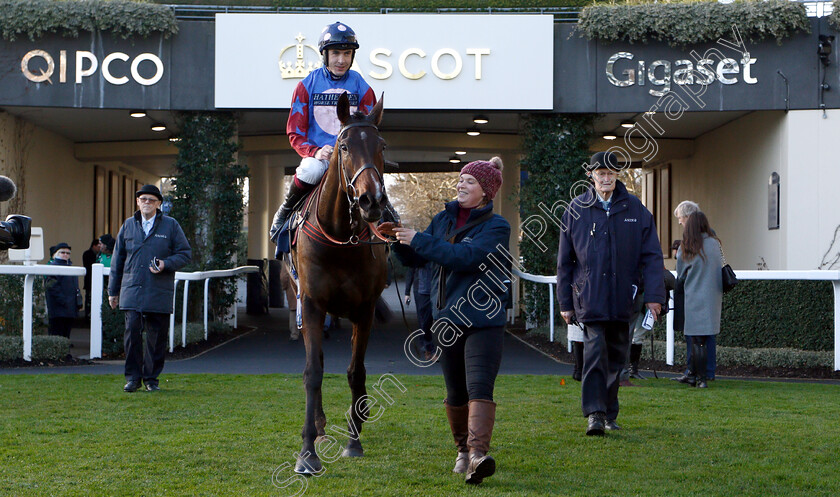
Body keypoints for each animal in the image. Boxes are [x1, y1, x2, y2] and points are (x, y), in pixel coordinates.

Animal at [288, 91, 390, 474]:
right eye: (343, 146)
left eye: (381, 145)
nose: (371, 200)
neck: (340, 238)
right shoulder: (312, 305)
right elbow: (313, 372)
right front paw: (307, 452)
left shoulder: (365, 309)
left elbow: (355, 372)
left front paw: (354, 439)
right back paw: (318, 427)